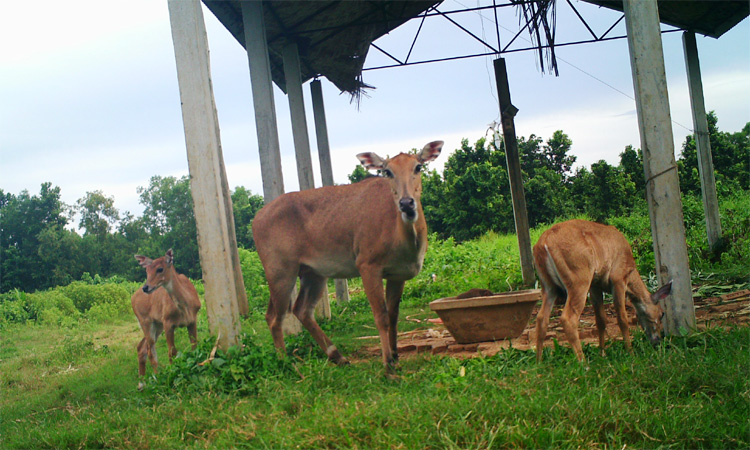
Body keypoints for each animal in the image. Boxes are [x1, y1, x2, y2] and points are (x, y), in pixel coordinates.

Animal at [132, 248, 201, 384]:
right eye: (147, 270)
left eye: (160, 269)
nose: (146, 287)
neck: (185, 308)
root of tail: (132, 299)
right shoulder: (168, 322)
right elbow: (172, 352)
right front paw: (173, 373)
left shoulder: (192, 320)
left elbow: (194, 345)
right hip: (145, 321)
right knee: (150, 351)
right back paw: (157, 378)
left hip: (157, 325)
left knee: (141, 347)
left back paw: (141, 383)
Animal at [256, 141, 444, 370]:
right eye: (387, 171)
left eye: (418, 166)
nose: (406, 203)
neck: (404, 242)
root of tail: (256, 219)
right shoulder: (367, 263)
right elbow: (380, 316)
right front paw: (387, 363)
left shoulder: (398, 273)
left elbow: (393, 315)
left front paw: (396, 355)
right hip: (280, 268)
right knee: (275, 316)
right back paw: (286, 362)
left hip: (313, 272)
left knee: (300, 309)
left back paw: (337, 355)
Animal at [532, 219, 672, 362]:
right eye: (662, 313)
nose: (658, 341)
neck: (630, 273)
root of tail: (544, 242)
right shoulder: (618, 279)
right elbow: (622, 318)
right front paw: (630, 352)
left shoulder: (595, 285)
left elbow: (601, 320)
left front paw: (602, 353)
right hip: (578, 279)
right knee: (568, 318)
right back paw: (582, 361)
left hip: (548, 285)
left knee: (541, 318)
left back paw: (539, 361)